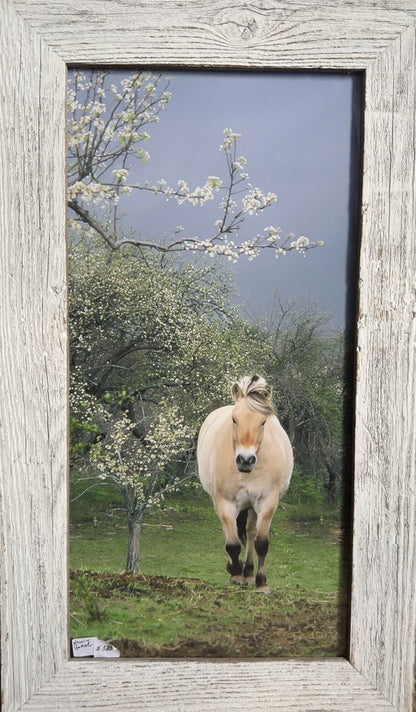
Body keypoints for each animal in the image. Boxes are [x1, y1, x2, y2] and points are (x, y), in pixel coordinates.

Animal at [197, 375, 293, 592]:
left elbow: (261, 543)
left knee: (250, 533)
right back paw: (239, 570)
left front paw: (261, 582)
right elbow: (232, 544)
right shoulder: (225, 503)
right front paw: (234, 573)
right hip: (219, 501)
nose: (245, 460)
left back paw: (248, 572)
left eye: (263, 421)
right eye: (234, 419)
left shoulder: (267, 502)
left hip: (252, 506)